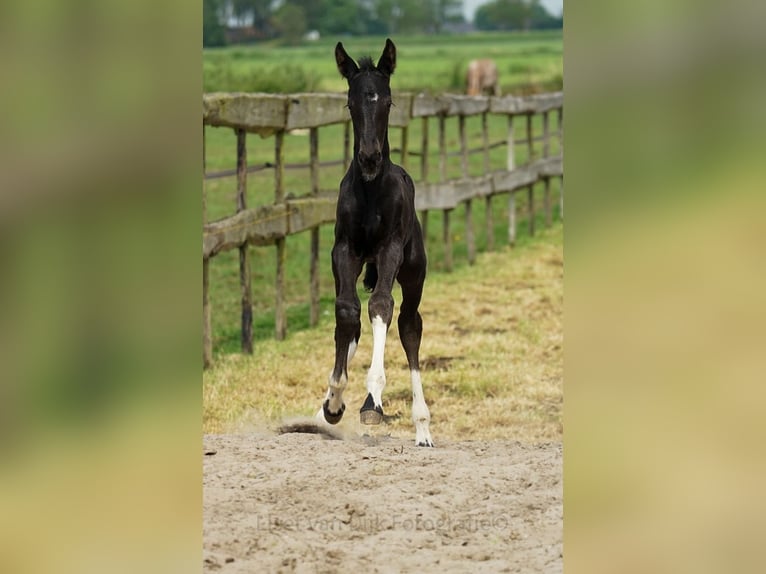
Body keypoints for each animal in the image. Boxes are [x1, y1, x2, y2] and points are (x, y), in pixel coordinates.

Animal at [316, 38, 436, 448]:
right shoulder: (344, 251)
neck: (370, 191)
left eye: (386, 101)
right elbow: (347, 312)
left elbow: (381, 305)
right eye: (351, 103)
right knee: (354, 321)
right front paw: (334, 402)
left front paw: (373, 402)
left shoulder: (390, 250)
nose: (369, 158)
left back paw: (422, 427)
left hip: (414, 273)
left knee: (409, 326)